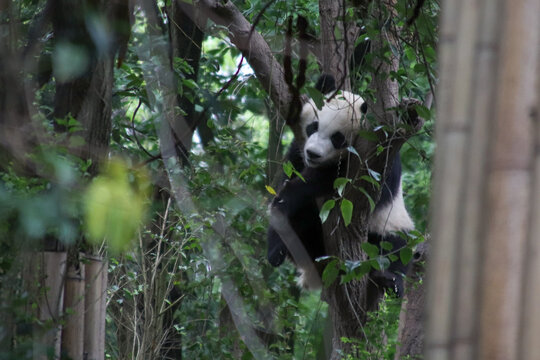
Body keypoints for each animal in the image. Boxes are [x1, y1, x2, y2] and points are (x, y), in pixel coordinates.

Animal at [266, 74, 414, 296]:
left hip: (390, 225)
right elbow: (290, 181)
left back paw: (389, 279)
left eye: (338, 138)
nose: (313, 154)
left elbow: (331, 184)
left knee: (397, 247)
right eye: (313, 126)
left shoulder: (377, 164)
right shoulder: (297, 155)